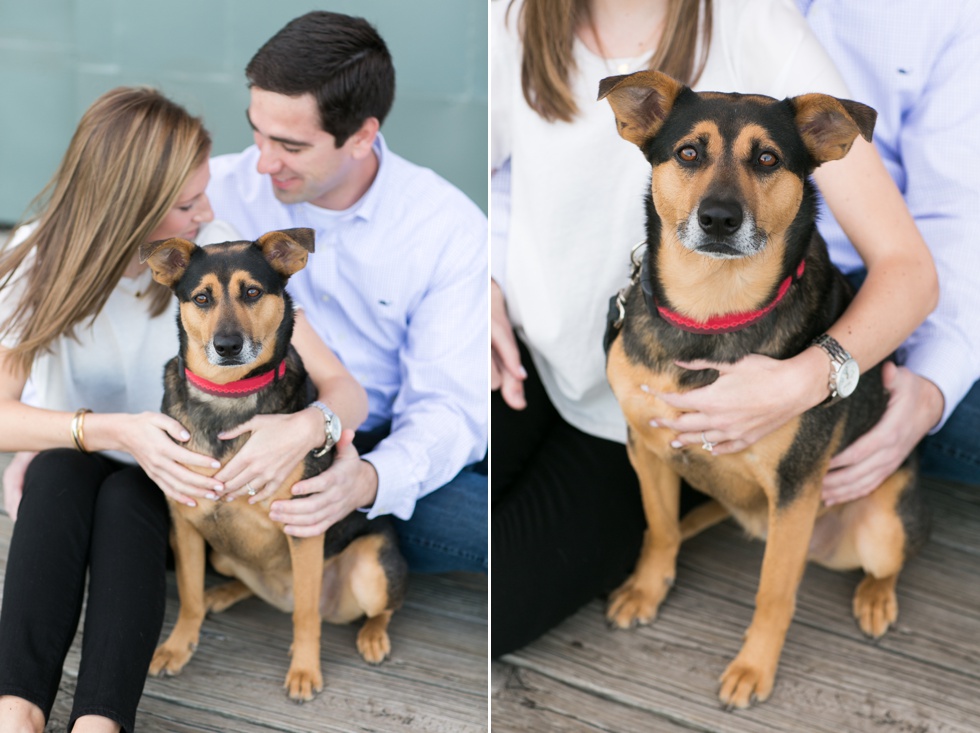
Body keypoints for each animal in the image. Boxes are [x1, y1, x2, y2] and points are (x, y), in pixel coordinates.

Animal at [140, 229, 408, 696]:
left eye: (252, 292)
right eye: (202, 298)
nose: (227, 346)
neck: (228, 394)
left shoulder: (303, 526)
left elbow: (306, 613)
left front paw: (304, 670)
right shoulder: (186, 522)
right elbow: (188, 596)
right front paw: (177, 646)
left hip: (371, 569)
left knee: (377, 607)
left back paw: (373, 636)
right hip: (222, 555)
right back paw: (221, 594)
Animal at [596, 71, 928, 708]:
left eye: (768, 159)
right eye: (688, 153)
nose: (719, 219)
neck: (711, 310)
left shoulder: (795, 490)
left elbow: (774, 592)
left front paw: (754, 668)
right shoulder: (645, 448)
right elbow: (660, 527)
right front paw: (649, 588)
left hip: (880, 526)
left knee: (890, 562)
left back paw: (877, 597)